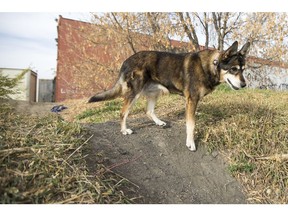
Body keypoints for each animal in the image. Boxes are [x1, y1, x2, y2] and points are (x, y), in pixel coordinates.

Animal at [88, 41, 250, 152]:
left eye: (243, 70)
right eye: (233, 69)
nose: (244, 85)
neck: (212, 66)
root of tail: (126, 61)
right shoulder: (192, 100)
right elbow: (191, 124)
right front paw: (190, 143)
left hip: (154, 93)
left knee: (149, 111)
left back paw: (159, 122)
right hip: (134, 93)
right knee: (123, 113)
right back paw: (124, 130)